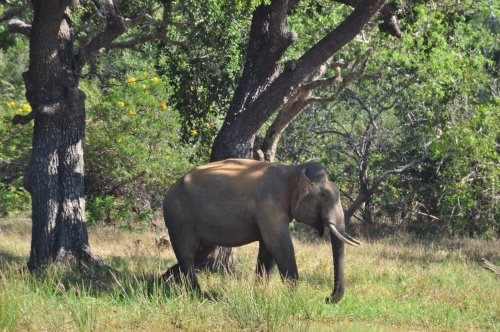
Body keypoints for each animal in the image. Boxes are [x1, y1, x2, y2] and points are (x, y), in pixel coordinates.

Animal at [162, 160, 362, 302]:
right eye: (324, 195)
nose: (328, 298)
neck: (293, 170)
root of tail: (170, 189)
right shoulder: (269, 204)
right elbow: (280, 244)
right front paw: (293, 297)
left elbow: (267, 249)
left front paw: (260, 293)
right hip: (180, 216)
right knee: (187, 253)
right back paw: (200, 295)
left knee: (198, 252)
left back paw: (167, 281)